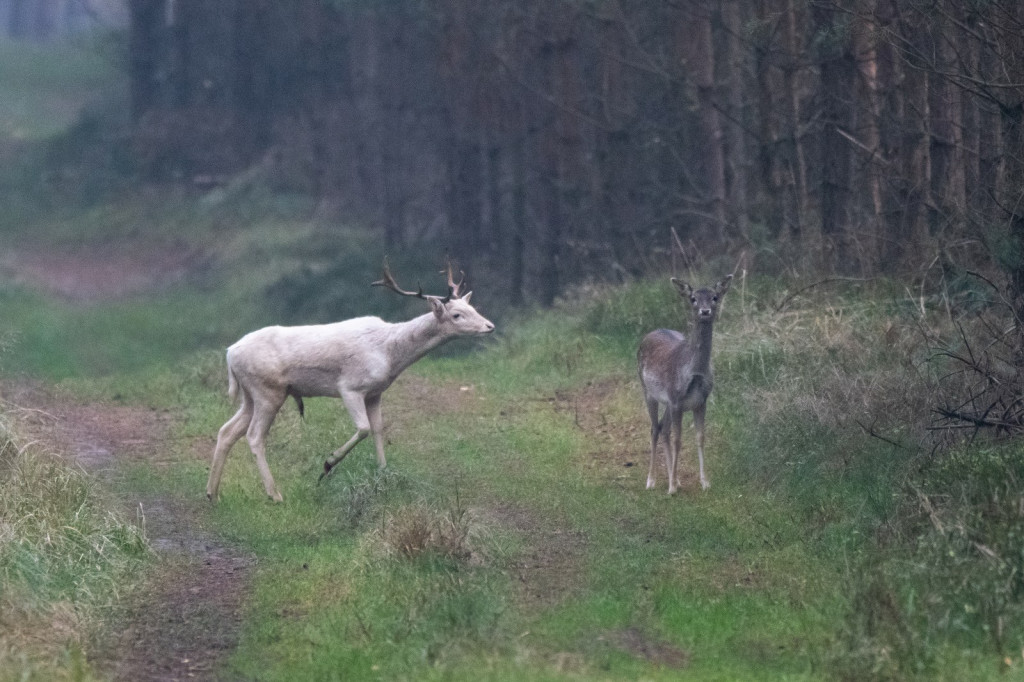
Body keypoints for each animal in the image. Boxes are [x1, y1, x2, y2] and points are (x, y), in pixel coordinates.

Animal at [634, 274, 733, 491]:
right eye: (693, 298)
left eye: (714, 297)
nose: (705, 311)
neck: (694, 373)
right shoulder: (676, 399)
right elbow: (678, 439)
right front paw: (671, 488)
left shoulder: (700, 401)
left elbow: (700, 437)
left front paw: (705, 482)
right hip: (648, 391)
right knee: (654, 429)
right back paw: (651, 480)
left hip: (668, 403)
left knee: (663, 428)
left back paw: (675, 479)